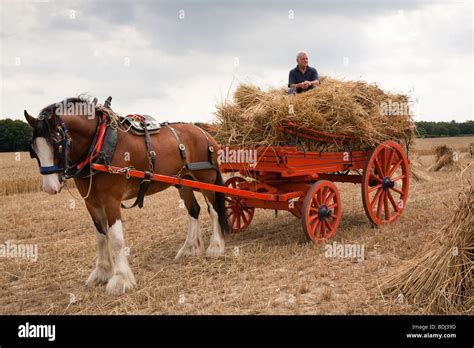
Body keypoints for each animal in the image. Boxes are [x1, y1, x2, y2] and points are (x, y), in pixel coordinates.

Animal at [25, 97, 230, 294]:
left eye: (57, 144)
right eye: (34, 150)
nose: (50, 187)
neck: (99, 144)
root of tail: (205, 133)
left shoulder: (111, 201)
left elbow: (116, 239)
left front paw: (120, 280)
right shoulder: (92, 203)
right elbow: (101, 237)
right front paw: (101, 273)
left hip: (206, 179)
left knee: (213, 211)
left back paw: (215, 246)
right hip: (184, 182)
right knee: (193, 211)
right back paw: (189, 249)